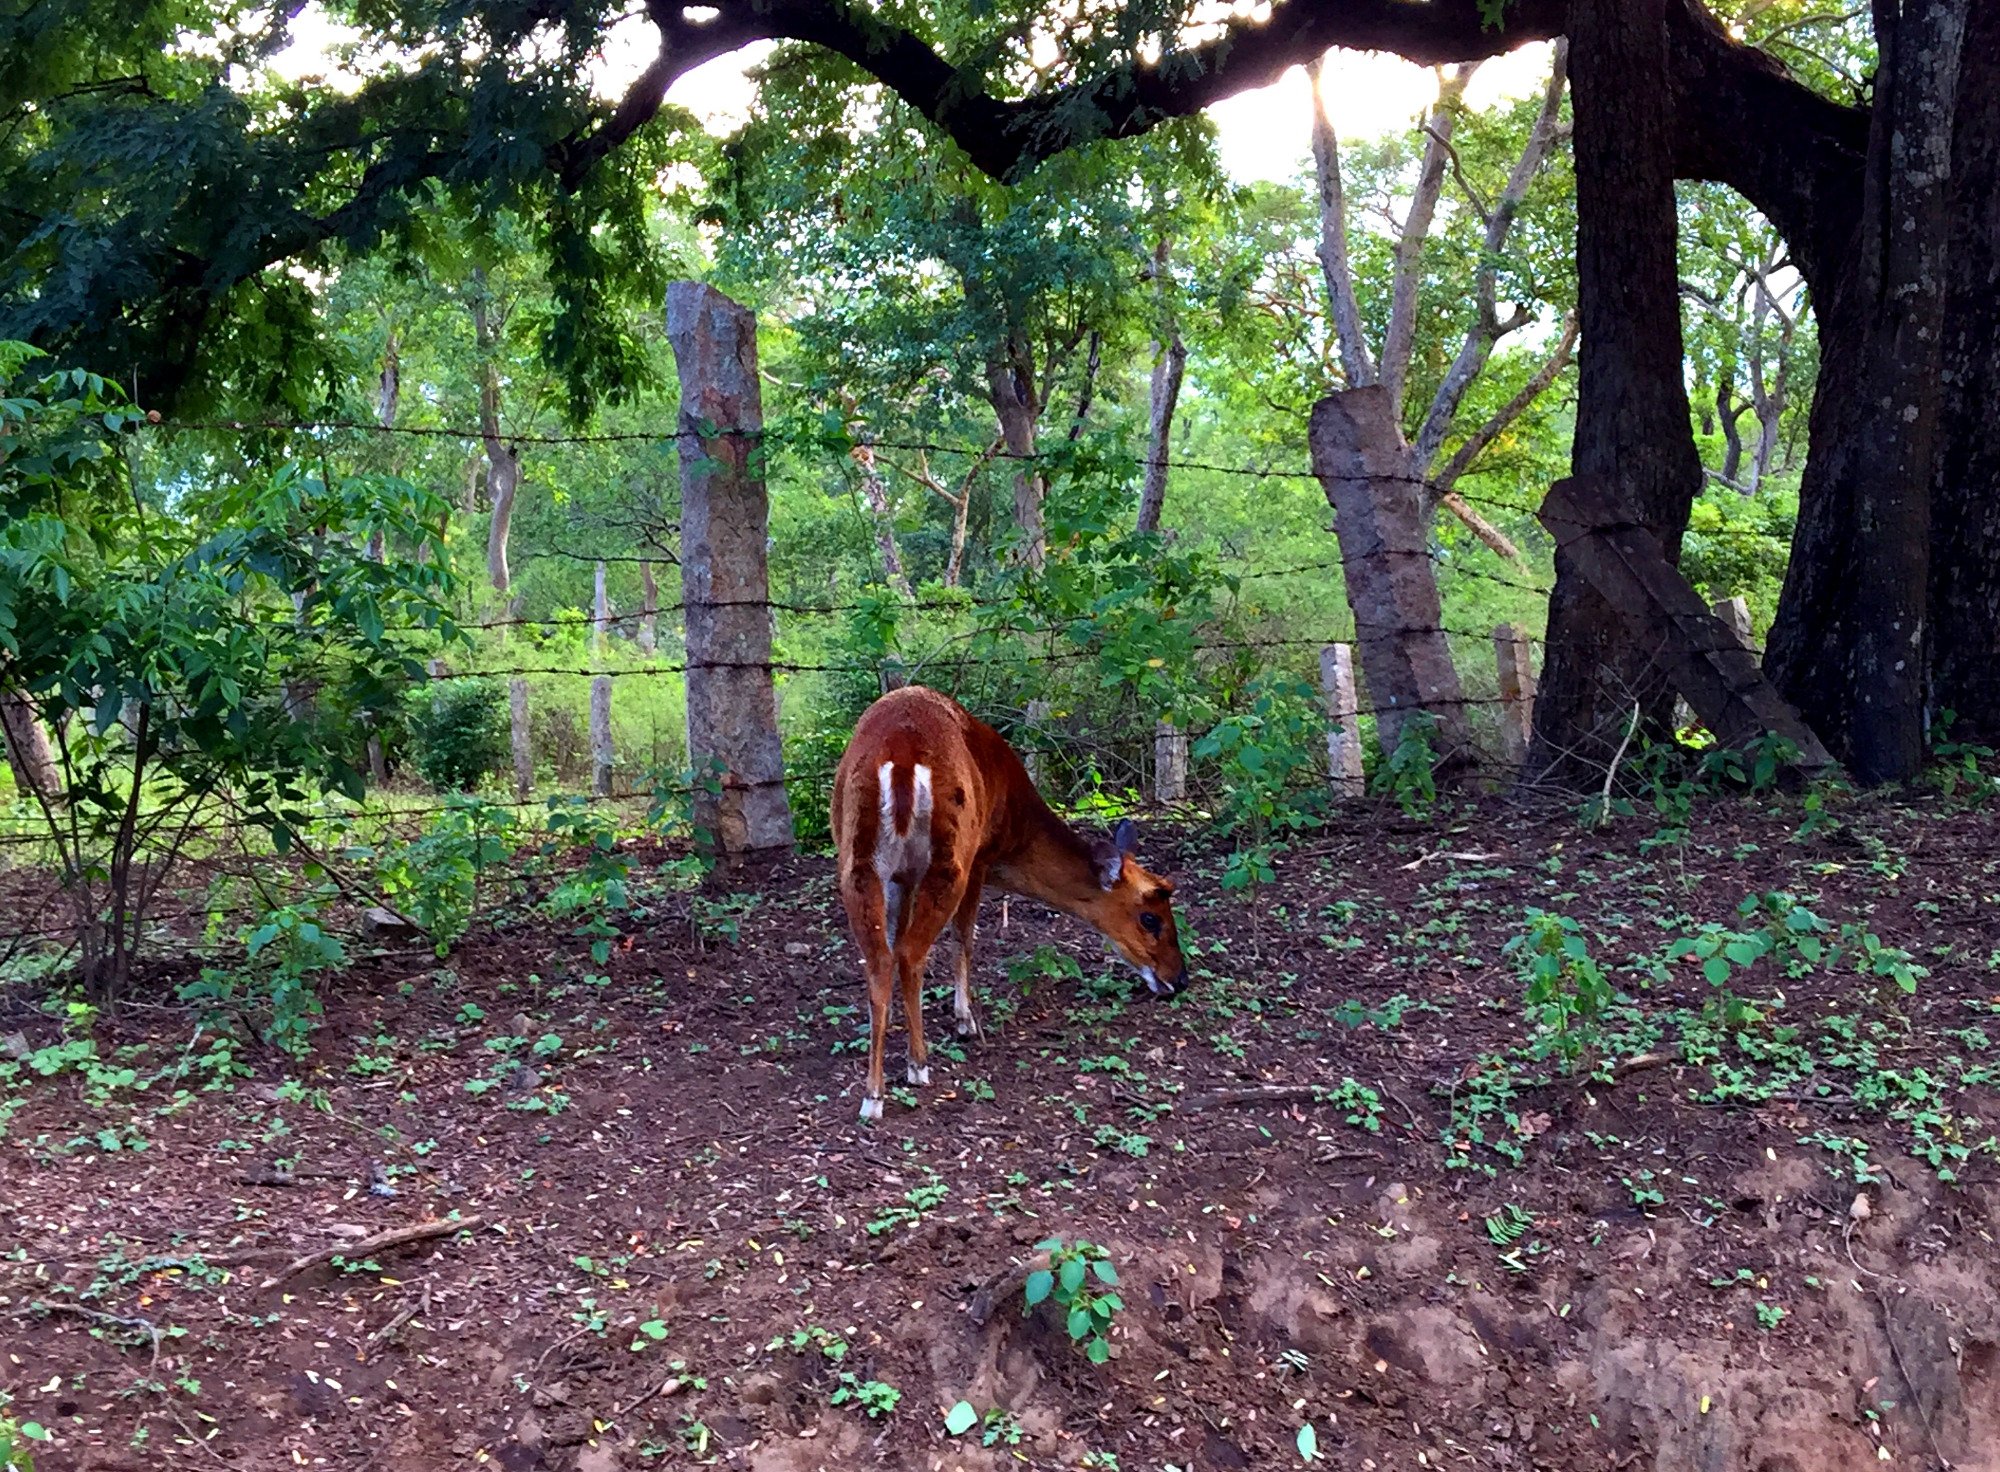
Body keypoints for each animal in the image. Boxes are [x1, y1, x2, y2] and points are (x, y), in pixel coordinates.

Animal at [832, 684, 1184, 1120]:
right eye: (1150, 918)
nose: (1179, 979)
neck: (1016, 829)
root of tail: (899, 758)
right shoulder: (980, 858)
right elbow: (964, 938)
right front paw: (964, 1019)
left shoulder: (902, 876)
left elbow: (896, 936)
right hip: (951, 858)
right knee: (913, 953)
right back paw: (918, 1066)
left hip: (857, 861)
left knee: (881, 957)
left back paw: (872, 1096)